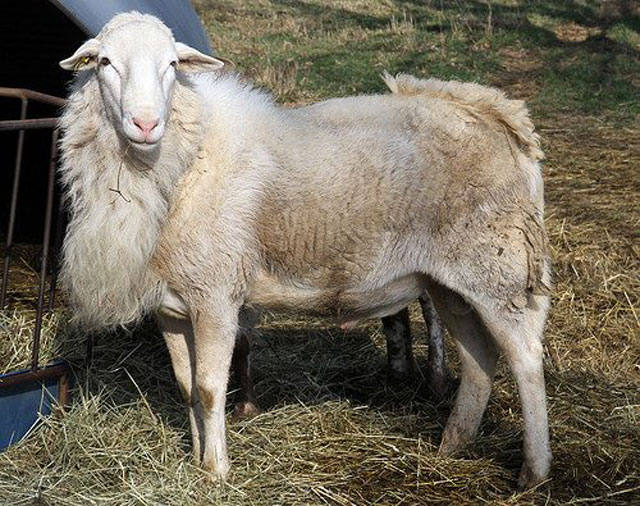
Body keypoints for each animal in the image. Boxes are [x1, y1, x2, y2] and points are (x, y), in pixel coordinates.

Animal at [58, 11, 552, 488]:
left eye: (173, 65)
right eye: (105, 62)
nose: (145, 124)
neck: (186, 158)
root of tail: (497, 114)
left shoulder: (217, 296)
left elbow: (211, 389)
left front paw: (217, 472)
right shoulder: (172, 307)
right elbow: (186, 387)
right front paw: (196, 460)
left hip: (498, 265)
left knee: (526, 359)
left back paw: (534, 471)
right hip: (449, 280)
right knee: (479, 357)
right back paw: (453, 444)